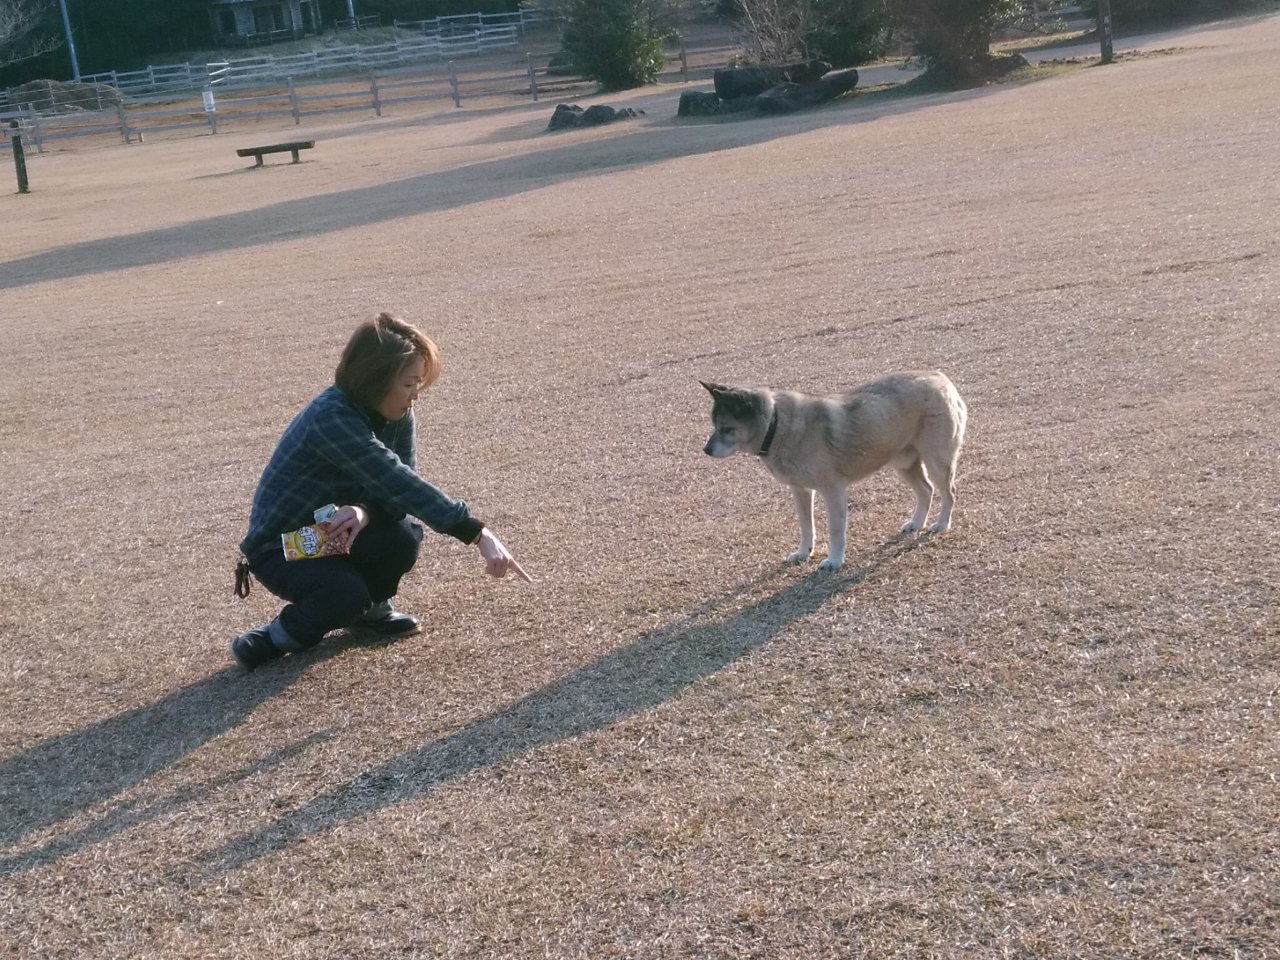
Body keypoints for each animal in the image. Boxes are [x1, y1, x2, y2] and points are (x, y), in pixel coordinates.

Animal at [701, 371, 967, 571]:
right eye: (714, 426)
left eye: (726, 429)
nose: (706, 450)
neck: (777, 426)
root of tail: (940, 377)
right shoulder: (800, 491)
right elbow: (806, 526)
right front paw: (803, 553)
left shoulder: (833, 491)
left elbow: (836, 530)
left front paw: (834, 561)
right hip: (903, 465)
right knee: (926, 491)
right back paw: (916, 523)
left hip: (936, 462)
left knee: (950, 493)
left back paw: (942, 524)